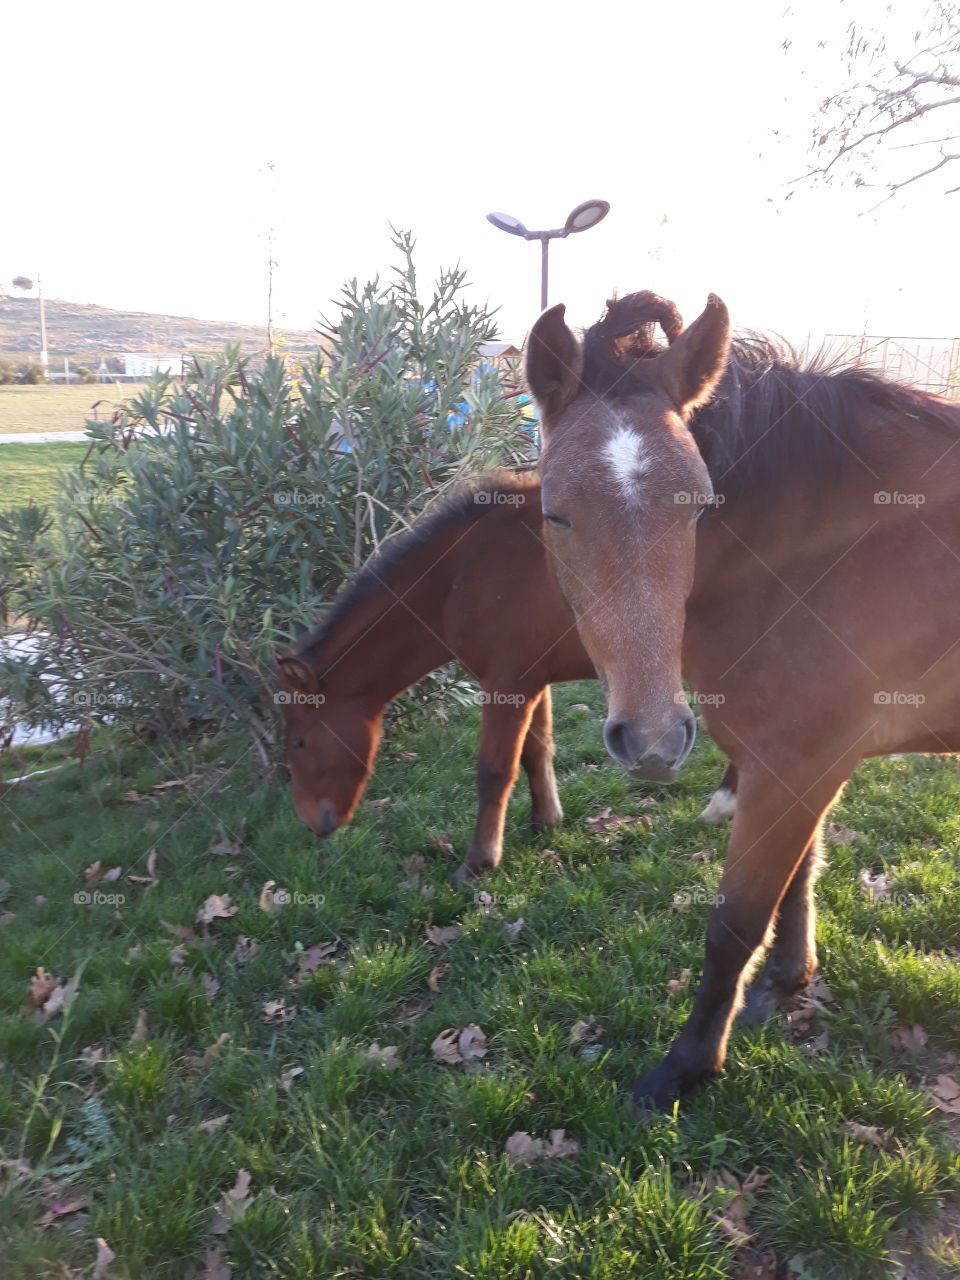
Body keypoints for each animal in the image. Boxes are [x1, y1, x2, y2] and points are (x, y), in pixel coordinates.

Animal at [275, 469, 739, 884]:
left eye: (299, 742)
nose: (312, 824)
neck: (464, 573)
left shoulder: (505, 685)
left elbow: (494, 771)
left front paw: (478, 863)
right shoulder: (531, 681)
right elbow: (537, 750)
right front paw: (546, 821)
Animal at [528, 288, 960, 1110]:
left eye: (700, 507)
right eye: (555, 513)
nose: (653, 740)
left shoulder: (798, 763)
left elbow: (734, 924)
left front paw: (685, 1067)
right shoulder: (791, 765)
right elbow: (800, 878)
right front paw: (784, 985)